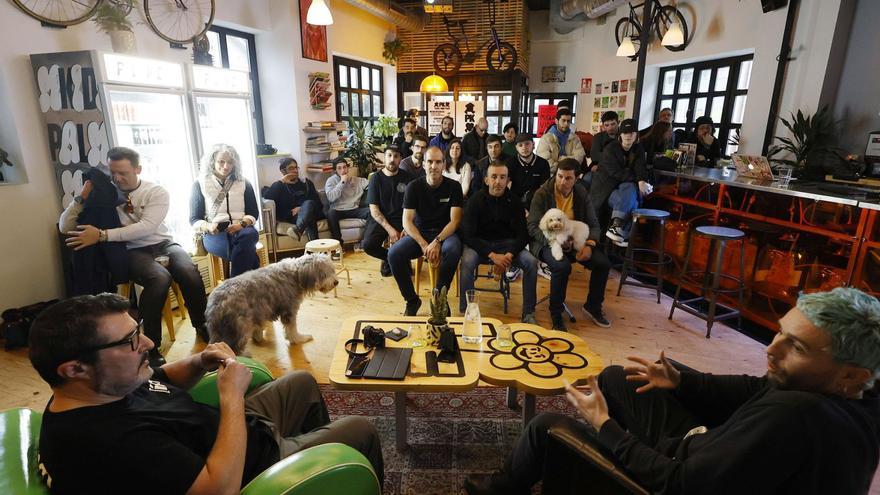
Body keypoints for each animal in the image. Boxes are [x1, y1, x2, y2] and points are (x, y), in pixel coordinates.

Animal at [205, 254, 336, 354]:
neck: (296, 274)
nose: (336, 282)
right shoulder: (289, 310)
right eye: (325, 274)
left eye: (332, 270)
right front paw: (299, 338)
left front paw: (258, 336)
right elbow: (292, 330)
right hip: (240, 328)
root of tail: (214, 303)